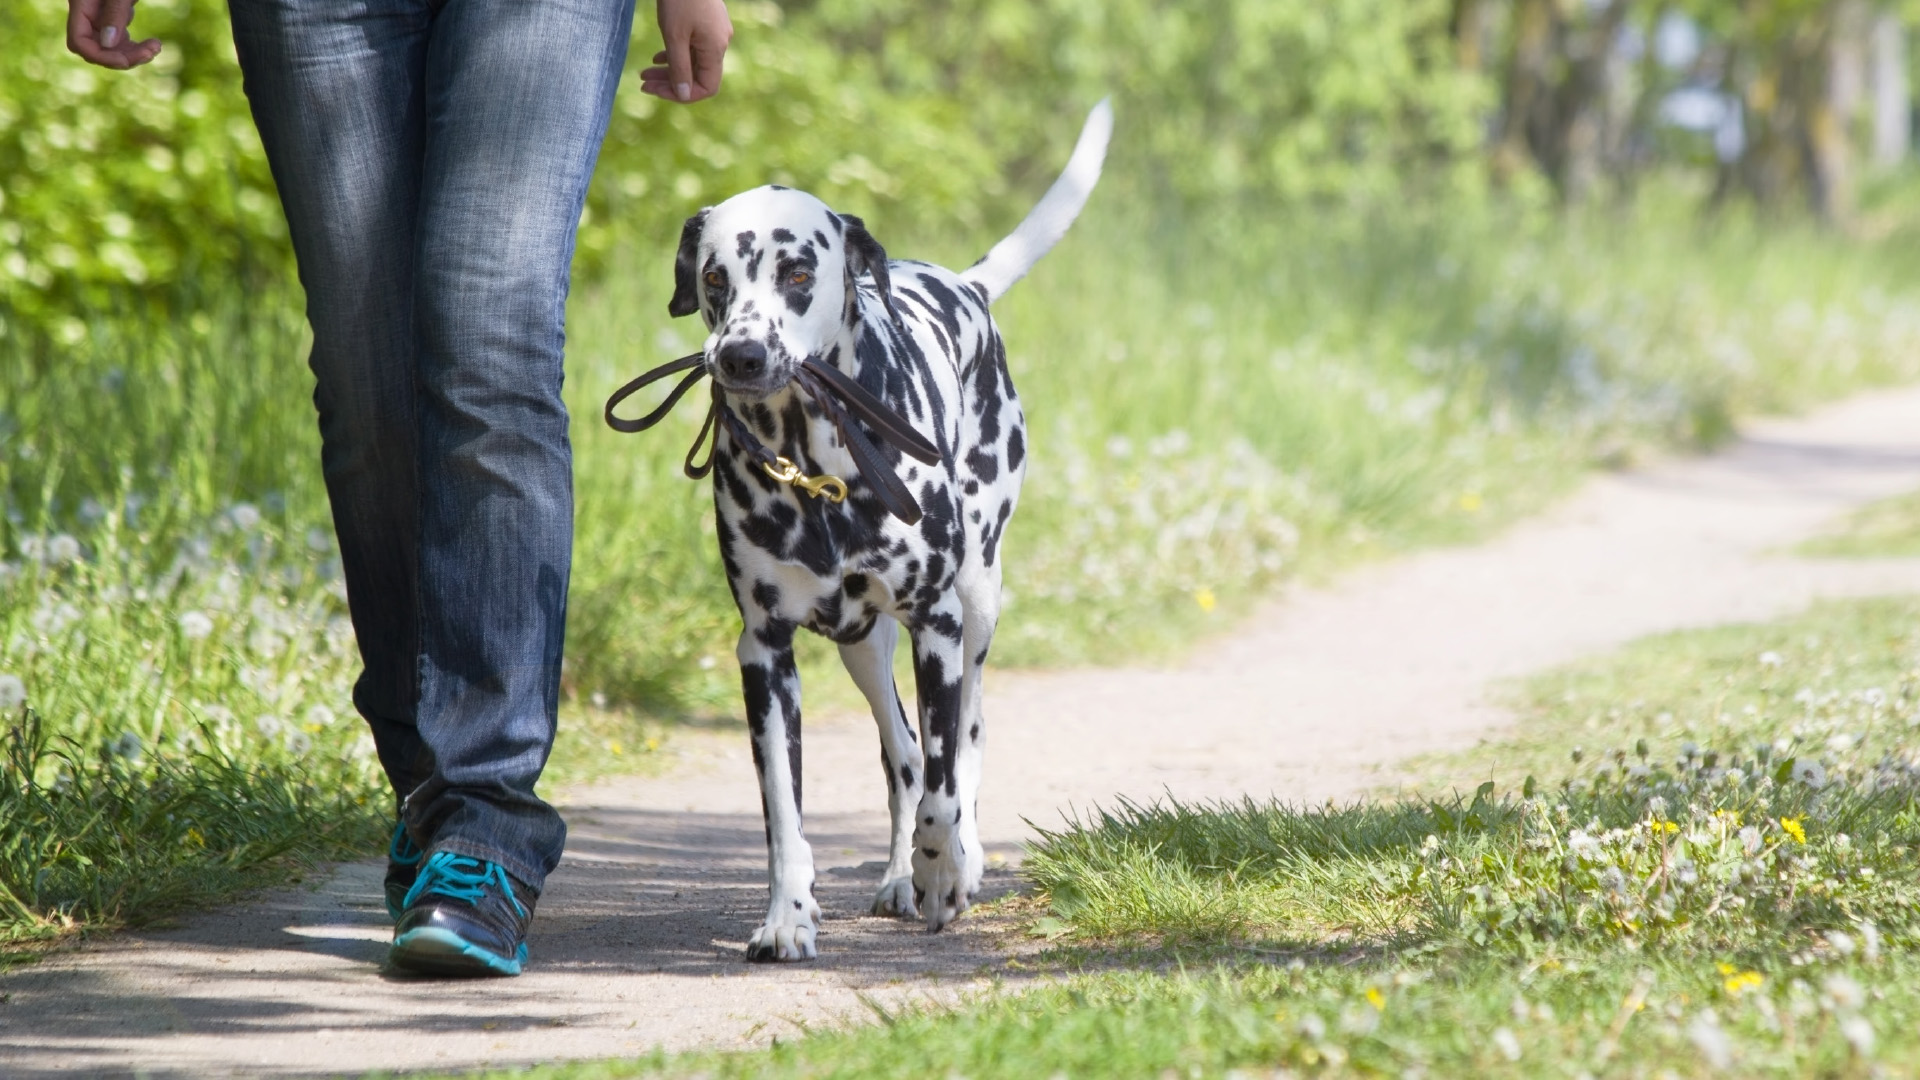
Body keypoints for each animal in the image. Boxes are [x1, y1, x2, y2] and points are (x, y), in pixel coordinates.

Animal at [672, 102, 1113, 957]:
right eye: (714, 277)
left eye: (797, 273)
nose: (740, 356)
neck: (815, 468)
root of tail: (963, 283)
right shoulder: (764, 655)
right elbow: (785, 813)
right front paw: (787, 916)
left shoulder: (935, 626)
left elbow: (946, 783)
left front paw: (946, 871)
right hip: (860, 646)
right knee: (904, 752)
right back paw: (898, 874)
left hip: (977, 605)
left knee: (963, 743)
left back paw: (952, 860)